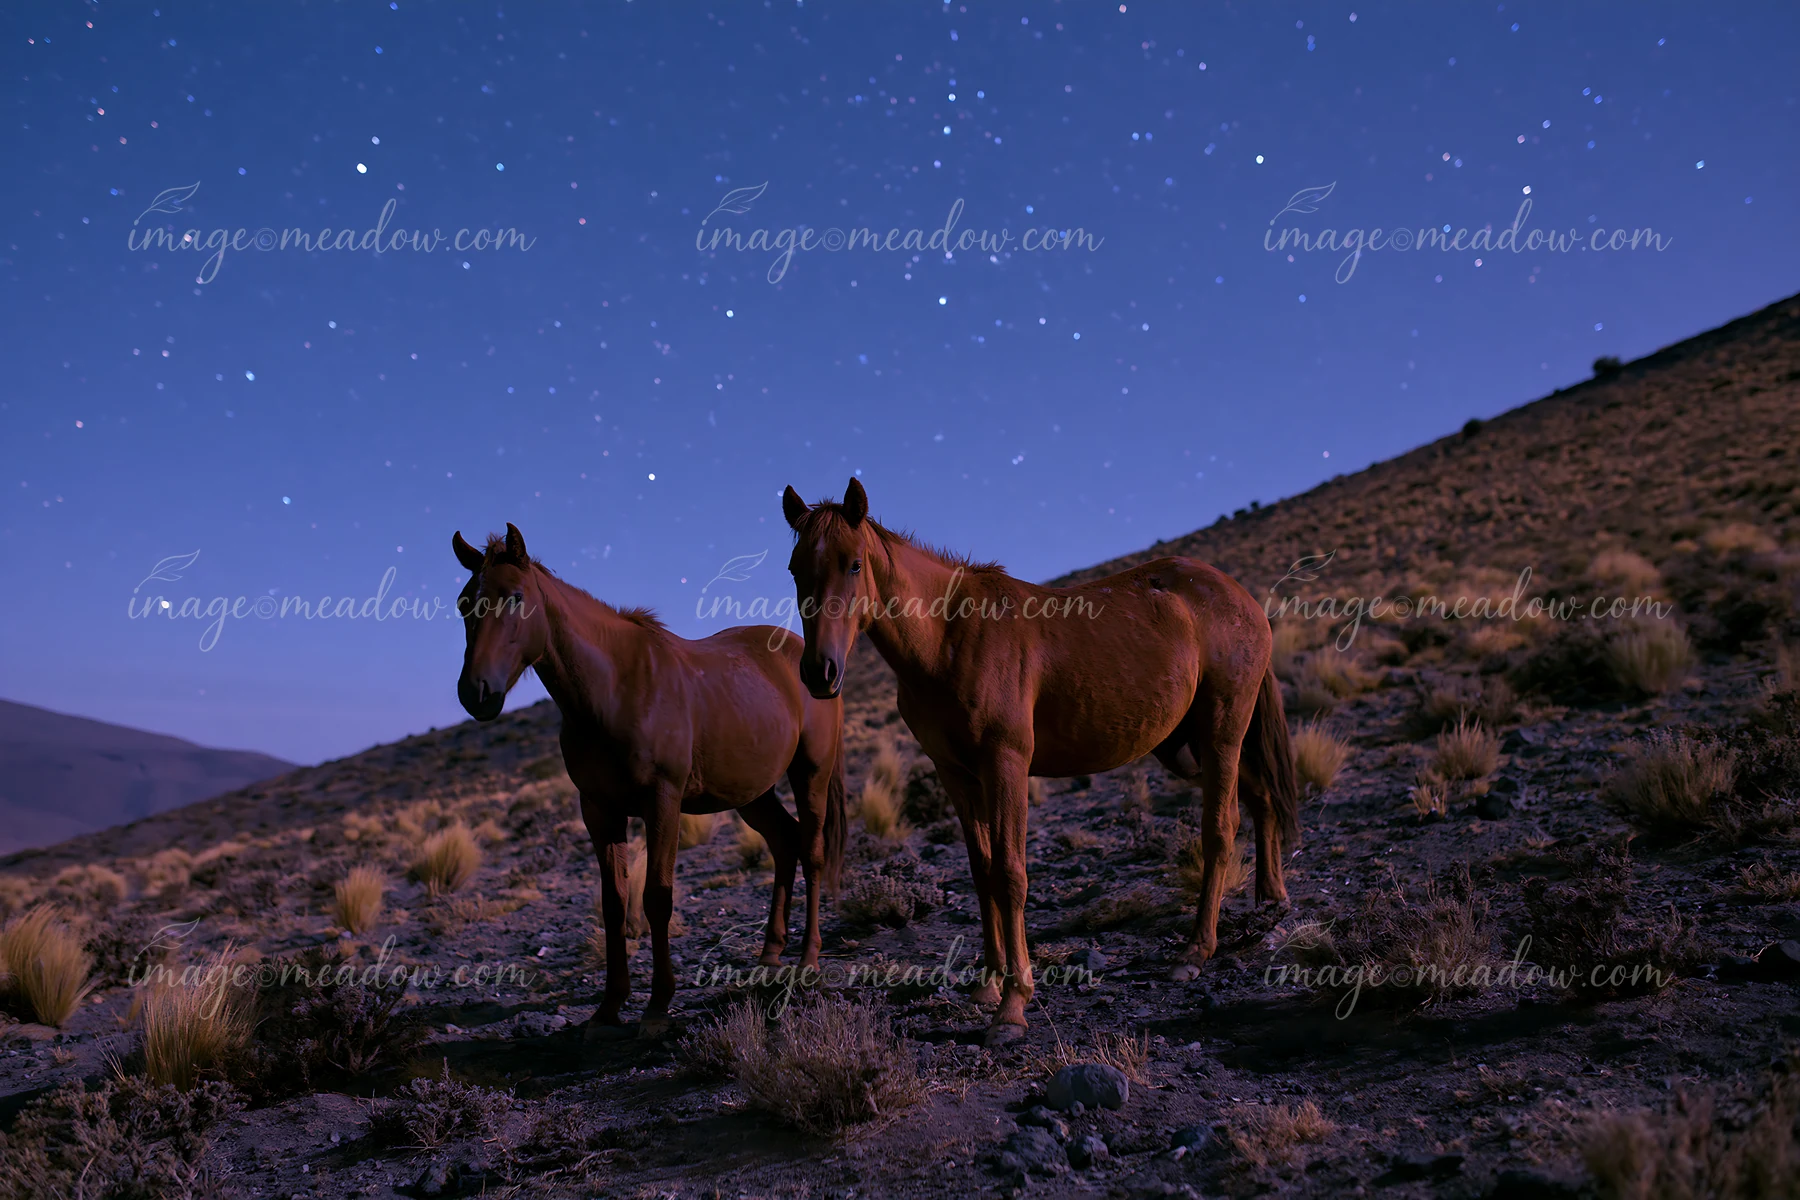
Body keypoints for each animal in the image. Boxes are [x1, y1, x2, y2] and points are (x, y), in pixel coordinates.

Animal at [453, 523, 846, 1031]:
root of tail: (808, 659)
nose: (475, 693)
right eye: (464, 602)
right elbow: (614, 902)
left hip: (810, 772)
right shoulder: (599, 810)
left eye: (516, 598)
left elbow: (657, 897)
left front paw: (658, 1007)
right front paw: (609, 1007)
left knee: (812, 850)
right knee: (785, 842)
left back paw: (807, 960)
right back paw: (770, 954)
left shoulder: (663, 801)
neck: (614, 690)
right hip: (752, 792)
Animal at [780, 479, 1298, 1041]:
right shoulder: (957, 774)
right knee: (1262, 799)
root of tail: (1239, 596)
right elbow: (982, 871)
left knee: (1221, 828)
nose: (819, 673)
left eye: (854, 565)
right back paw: (1271, 905)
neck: (948, 637)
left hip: (1222, 731)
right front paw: (987, 984)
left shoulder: (1005, 764)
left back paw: (1195, 951)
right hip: (1194, 745)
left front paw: (1013, 1005)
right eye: (795, 569)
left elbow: (1011, 874)